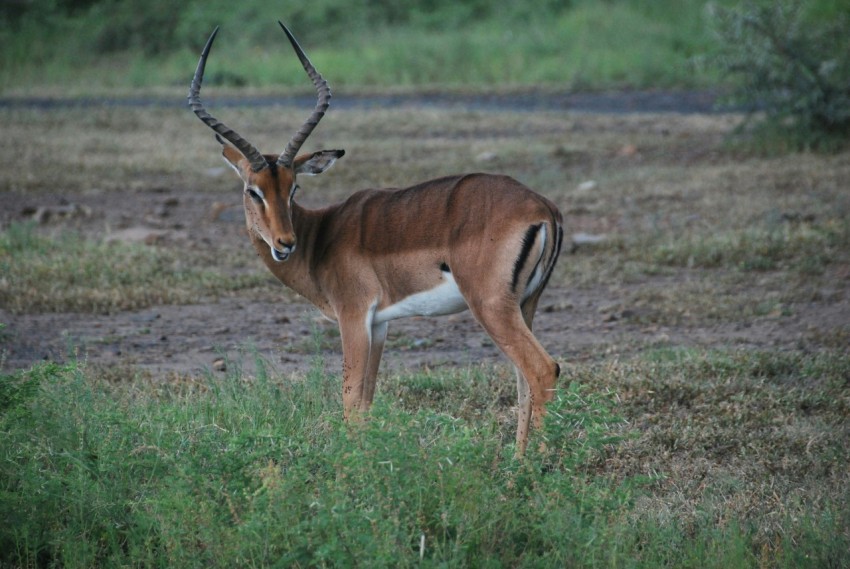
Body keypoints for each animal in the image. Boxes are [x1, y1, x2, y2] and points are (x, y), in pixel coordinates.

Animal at [190, 22, 564, 452]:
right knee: (524, 382)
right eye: (254, 190)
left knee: (543, 370)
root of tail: (543, 208)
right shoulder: (379, 324)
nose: (285, 243)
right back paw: (518, 460)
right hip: (525, 305)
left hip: (491, 307)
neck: (320, 237)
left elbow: (350, 403)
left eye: (293, 188)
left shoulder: (353, 316)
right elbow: (366, 402)